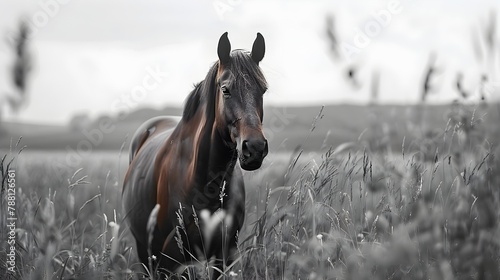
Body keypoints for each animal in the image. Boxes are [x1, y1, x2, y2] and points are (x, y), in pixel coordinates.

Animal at [122, 32, 268, 278]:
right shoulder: (172, 258)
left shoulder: (225, 254)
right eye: (225, 89)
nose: (255, 148)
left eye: (263, 89)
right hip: (145, 250)